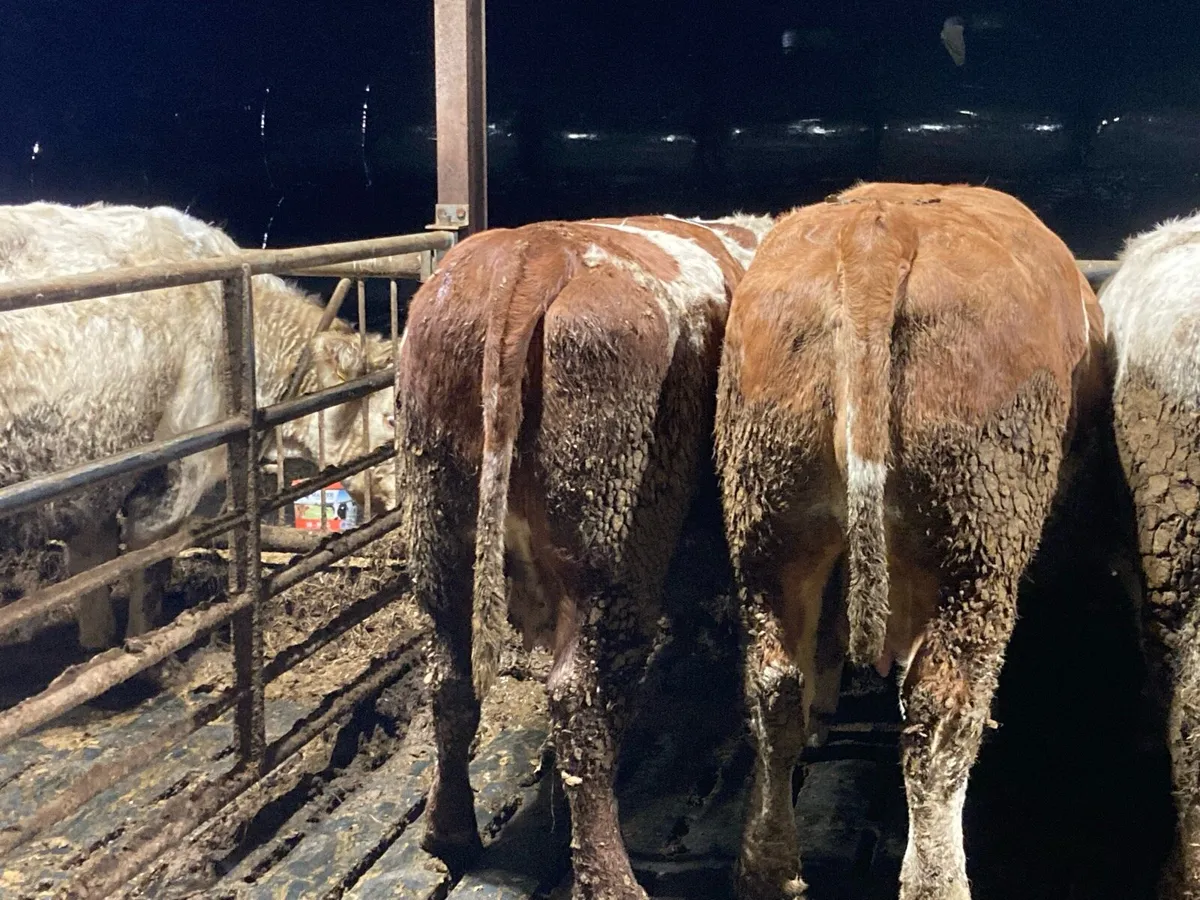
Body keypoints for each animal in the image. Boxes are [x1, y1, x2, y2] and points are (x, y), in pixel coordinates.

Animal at [0, 201, 397, 650]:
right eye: (390, 416)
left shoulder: (91, 486)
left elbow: (92, 575)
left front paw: (97, 645)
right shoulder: (176, 474)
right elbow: (148, 574)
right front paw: (147, 649)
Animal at [395, 212, 773, 899]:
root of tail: (537, 251)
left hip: (439, 534)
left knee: (451, 681)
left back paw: (448, 832)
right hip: (611, 548)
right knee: (583, 703)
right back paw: (612, 878)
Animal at [715, 182, 1104, 900]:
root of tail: (879, 229)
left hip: (768, 517)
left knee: (773, 684)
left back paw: (768, 868)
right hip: (977, 541)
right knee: (940, 713)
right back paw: (936, 879)